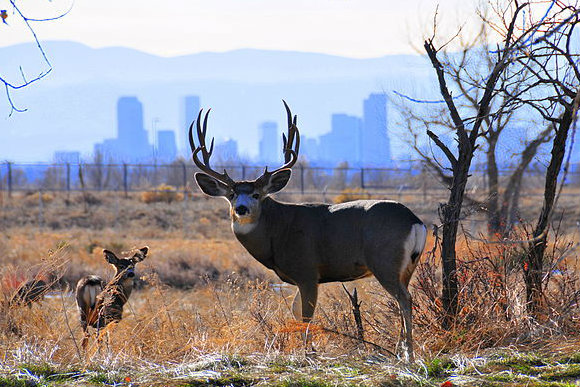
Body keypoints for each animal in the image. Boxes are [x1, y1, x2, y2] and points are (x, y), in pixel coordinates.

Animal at [189, 101, 426, 362]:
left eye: (257, 194)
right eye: (231, 194)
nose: (241, 208)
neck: (278, 231)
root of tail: (415, 221)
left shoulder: (307, 271)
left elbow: (306, 315)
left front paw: (306, 352)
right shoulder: (300, 277)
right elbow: (295, 311)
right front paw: (308, 348)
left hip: (385, 261)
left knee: (405, 299)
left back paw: (408, 354)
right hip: (408, 266)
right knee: (405, 298)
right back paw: (400, 350)